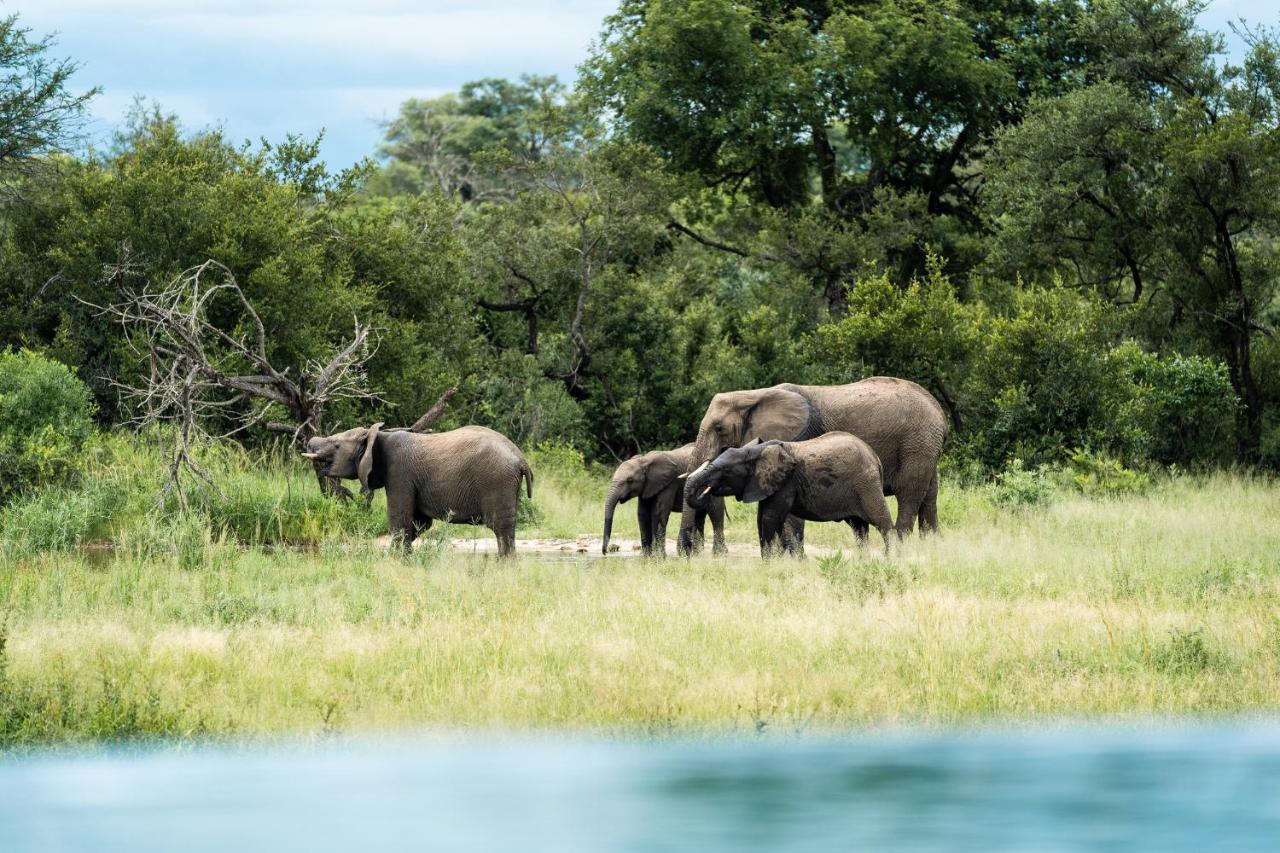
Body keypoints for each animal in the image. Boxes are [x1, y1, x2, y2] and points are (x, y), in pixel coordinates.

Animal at [302, 422, 532, 555]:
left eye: (336, 444)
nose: (309, 442)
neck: (378, 436)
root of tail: (521, 458)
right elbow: (419, 523)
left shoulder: (399, 473)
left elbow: (400, 518)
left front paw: (397, 561)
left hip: (498, 481)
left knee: (501, 529)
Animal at [686, 432, 896, 558]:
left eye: (726, 471)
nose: (706, 491)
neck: (754, 451)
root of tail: (875, 457)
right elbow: (761, 518)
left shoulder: (786, 483)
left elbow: (770, 518)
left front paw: (771, 563)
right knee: (859, 528)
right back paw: (864, 560)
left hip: (866, 484)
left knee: (881, 521)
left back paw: (892, 559)